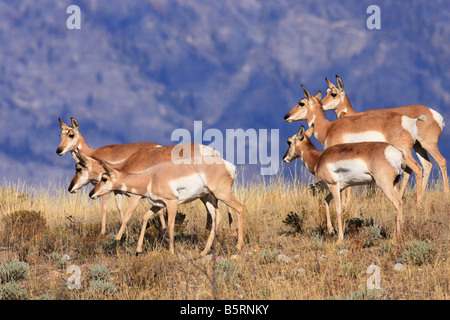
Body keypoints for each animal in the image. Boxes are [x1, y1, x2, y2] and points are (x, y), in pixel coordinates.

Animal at [68, 143, 225, 240]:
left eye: (79, 169)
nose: (70, 188)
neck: (128, 163)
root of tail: (212, 151)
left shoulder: (135, 196)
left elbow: (128, 215)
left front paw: (118, 239)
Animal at [88, 156, 243, 256]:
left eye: (104, 178)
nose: (91, 193)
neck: (151, 177)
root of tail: (228, 165)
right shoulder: (157, 205)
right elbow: (145, 218)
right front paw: (138, 250)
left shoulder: (172, 202)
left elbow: (170, 225)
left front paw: (172, 252)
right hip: (207, 198)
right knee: (218, 217)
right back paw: (203, 252)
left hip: (222, 194)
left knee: (240, 207)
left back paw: (238, 246)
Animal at [284, 85, 426, 205]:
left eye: (301, 103)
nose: (286, 116)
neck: (329, 128)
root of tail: (410, 120)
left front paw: (345, 204)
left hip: (405, 154)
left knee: (418, 169)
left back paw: (418, 203)